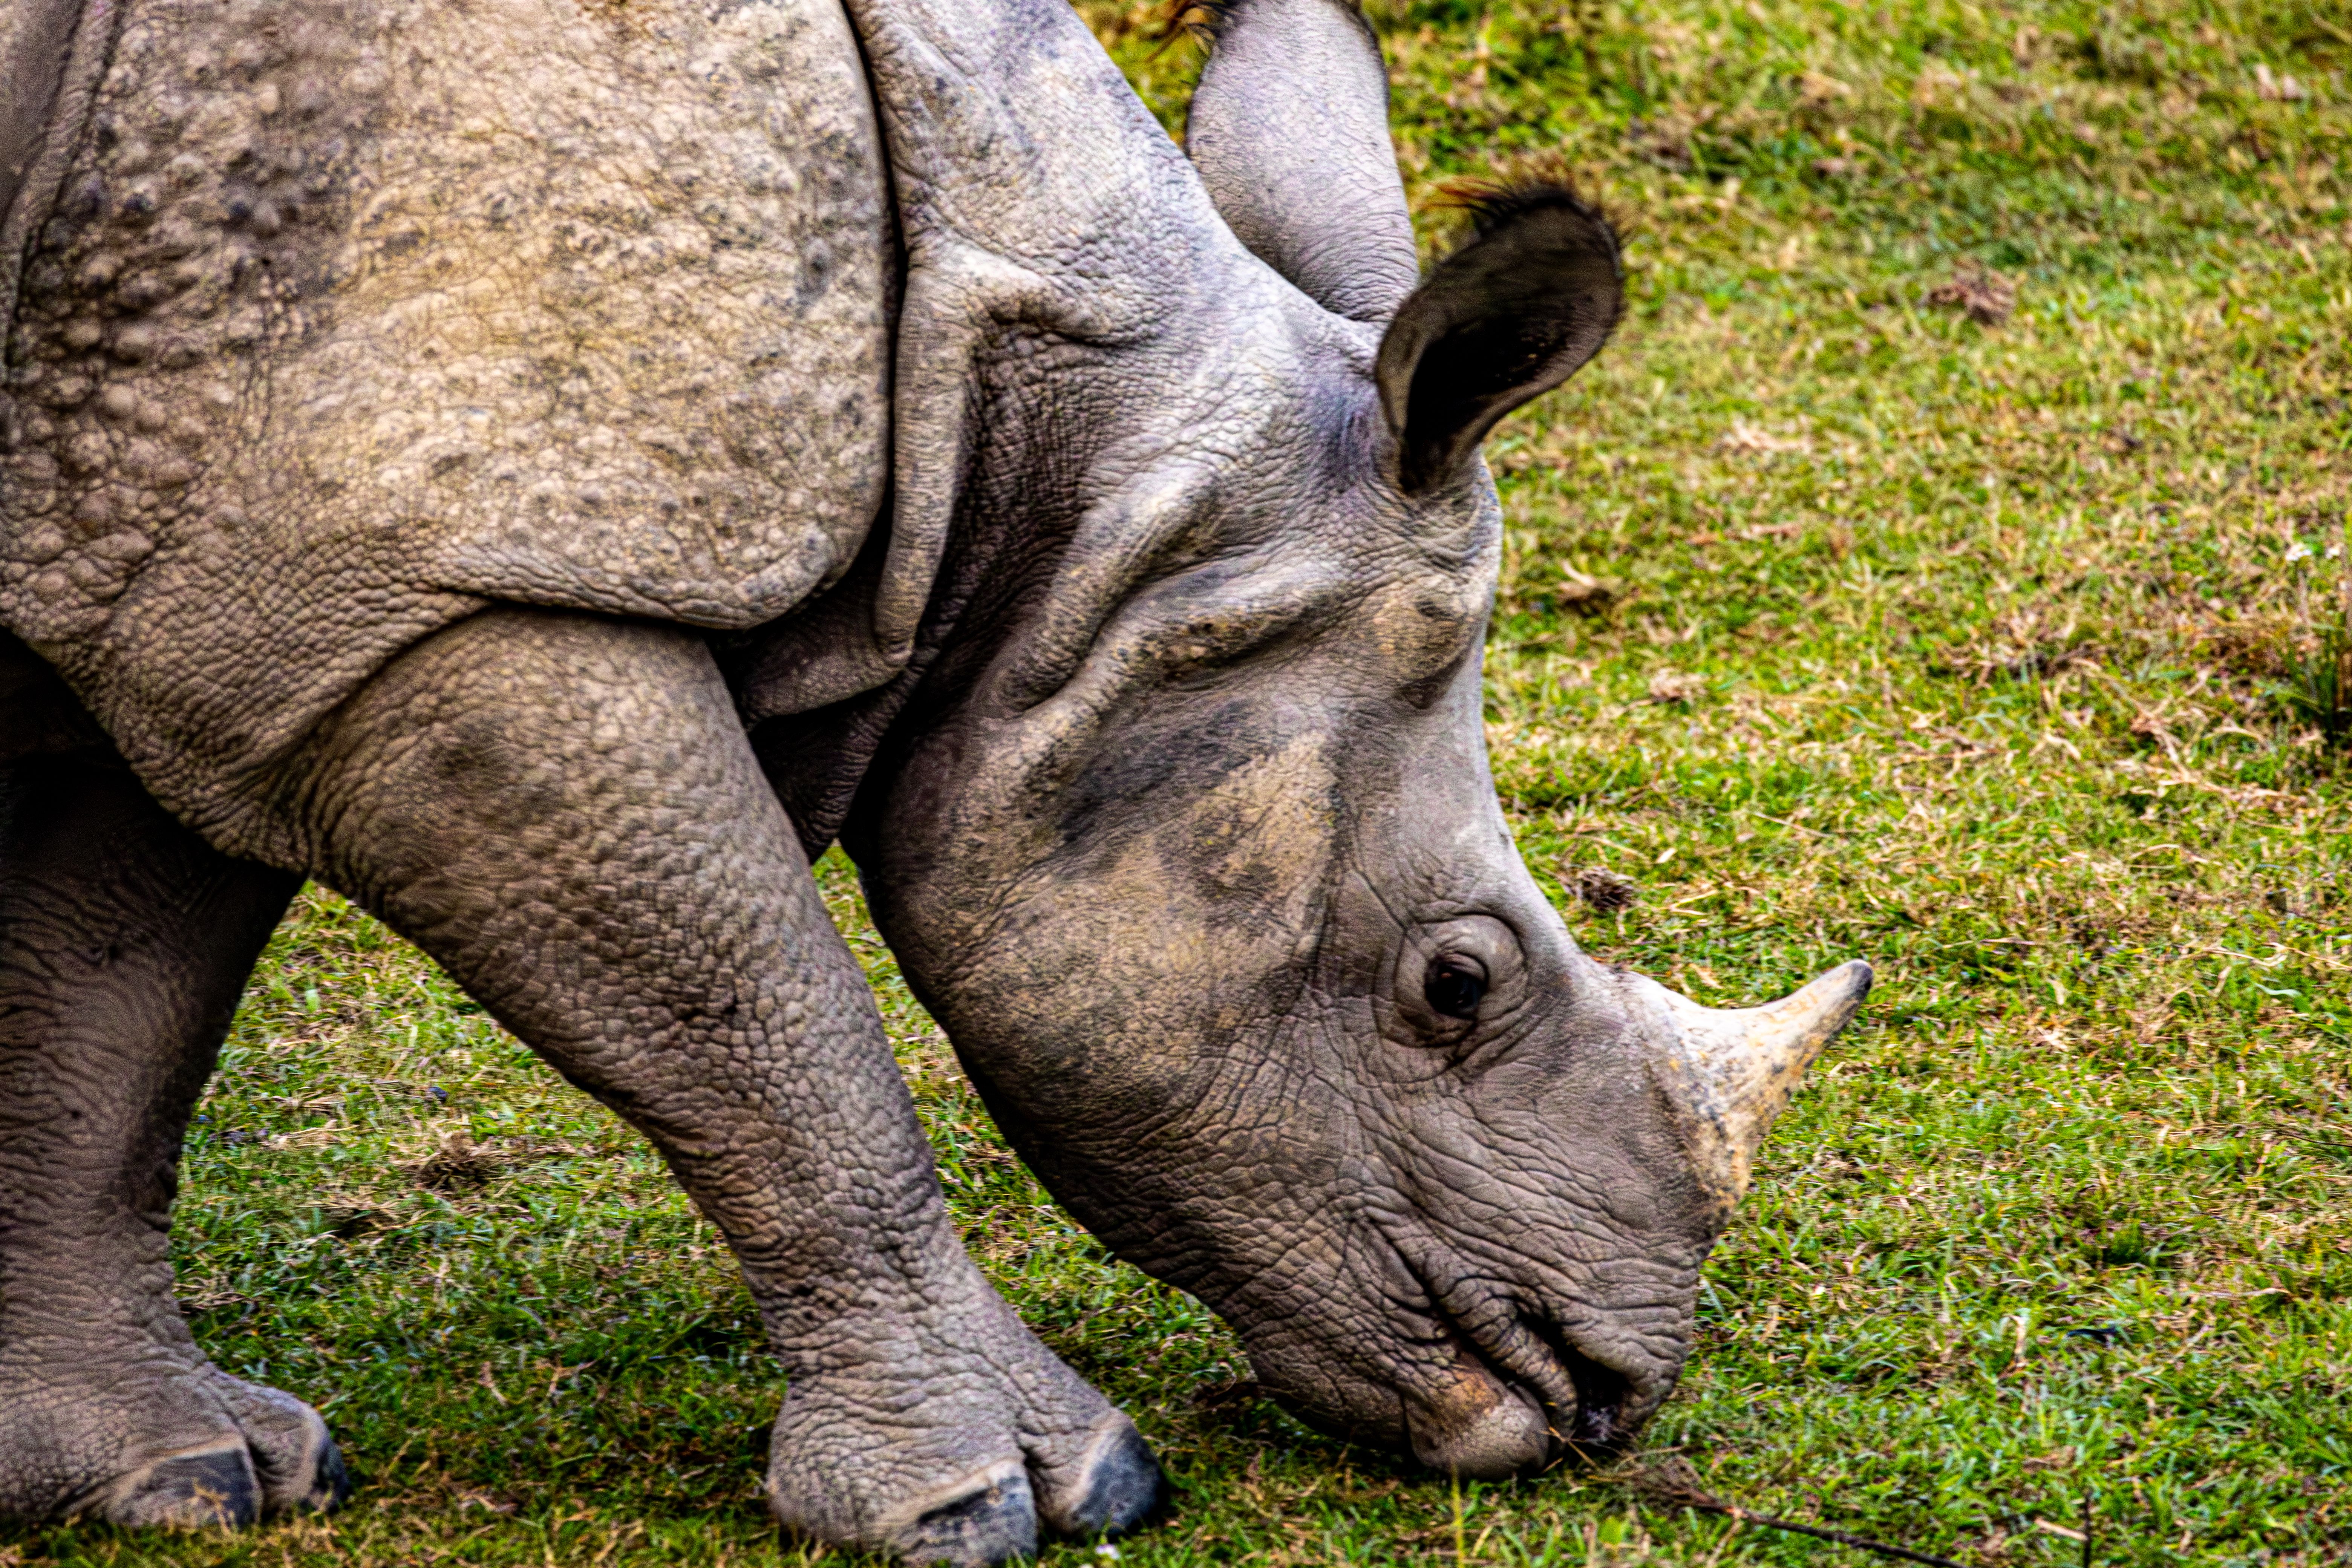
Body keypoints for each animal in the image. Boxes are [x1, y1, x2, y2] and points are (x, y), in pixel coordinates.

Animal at [0, 0, 1871, 1558]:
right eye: (1457, 982)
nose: (1610, 1395)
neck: (1052, 474)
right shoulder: (430, 575)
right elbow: (767, 1013)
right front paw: (1024, 1498)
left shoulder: (219, 557)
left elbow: (106, 1019)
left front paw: (179, 1476)